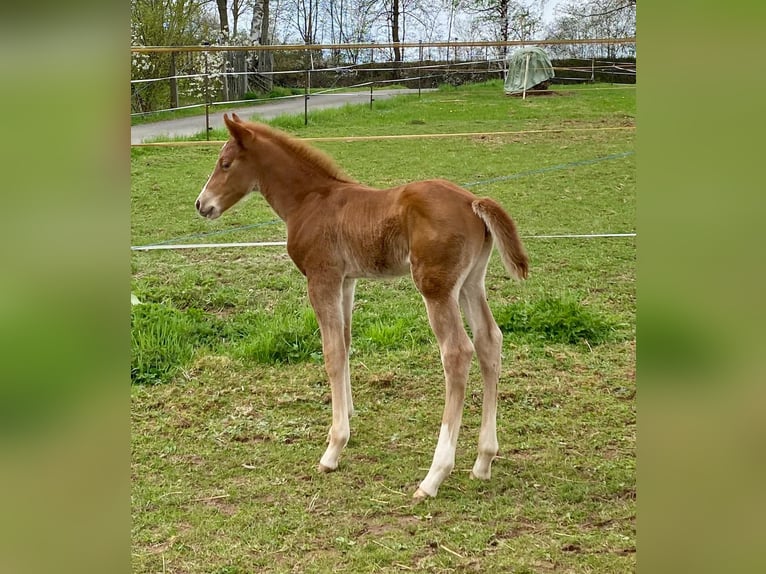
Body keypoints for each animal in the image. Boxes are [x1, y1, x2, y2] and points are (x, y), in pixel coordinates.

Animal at [195, 113, 529, 500]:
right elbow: (346, 341)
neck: (310, 200)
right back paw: (484, 460)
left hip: (436, 288)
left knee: (457, 352)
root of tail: (473, 201)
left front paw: (334, 446)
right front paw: (349, 414)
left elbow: (331, 352)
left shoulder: (321, 278)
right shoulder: (346, 280)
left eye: (225, 163)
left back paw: (434, 477)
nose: (201, 204)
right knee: (490, 340)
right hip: (471, 283)